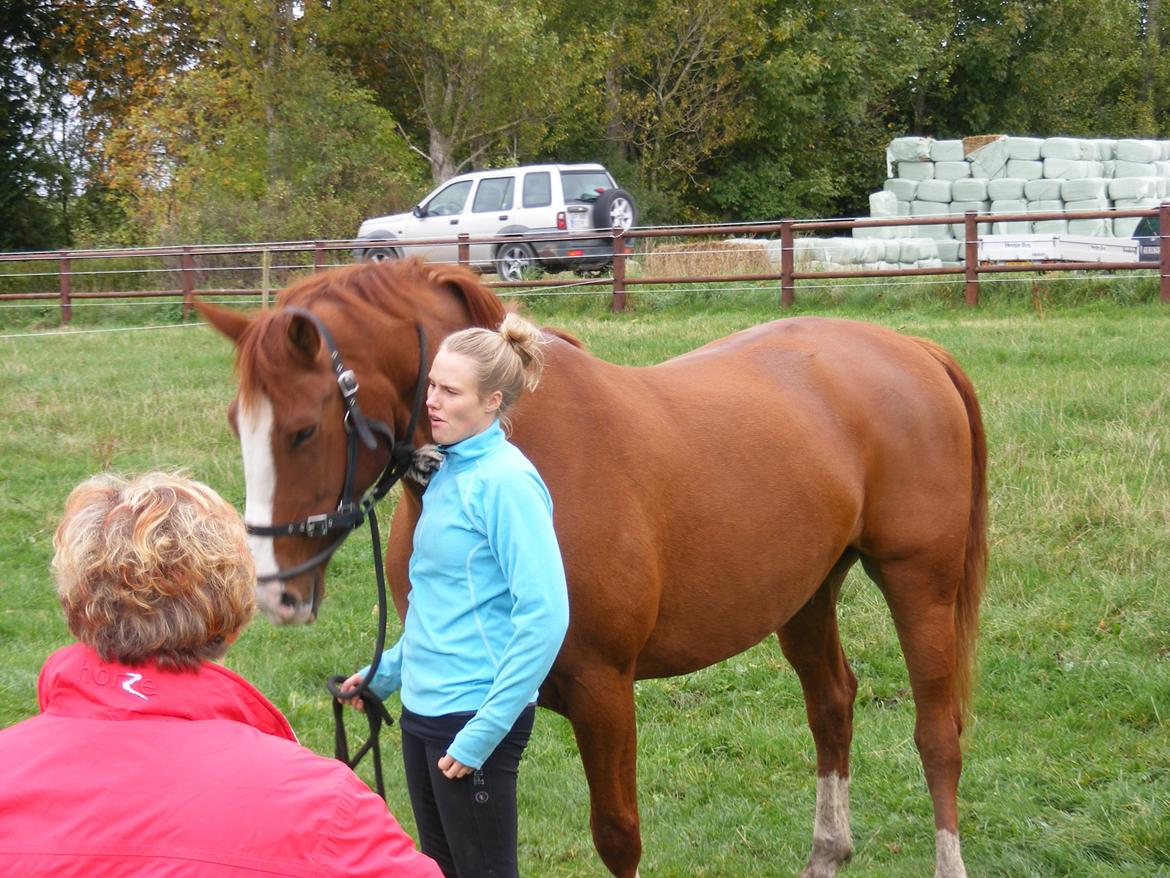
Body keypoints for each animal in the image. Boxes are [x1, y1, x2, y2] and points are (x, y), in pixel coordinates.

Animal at [201, 259, 987, 878]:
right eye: (239, 424)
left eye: (303, 429)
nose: (274, 591)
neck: (525, 448)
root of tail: (914, 351)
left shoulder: (602, 691)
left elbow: (617, 836)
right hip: (806, 595)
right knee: (831, 705)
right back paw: (828, 850)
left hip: (918, 584)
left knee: (937, 733)